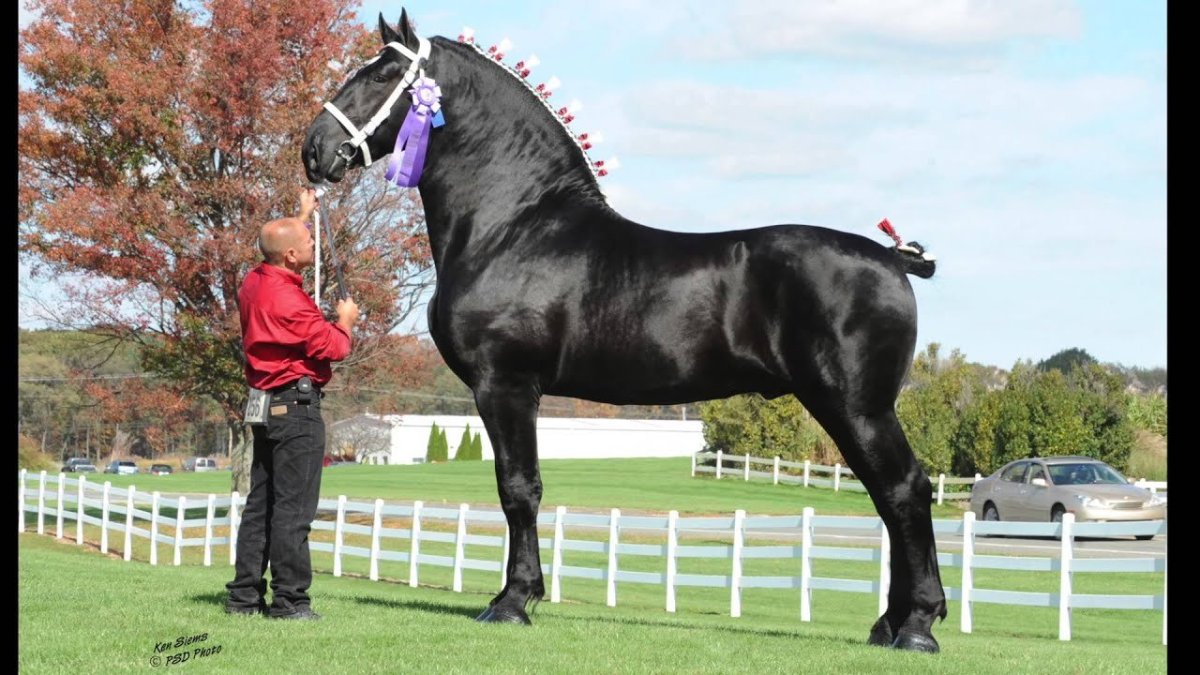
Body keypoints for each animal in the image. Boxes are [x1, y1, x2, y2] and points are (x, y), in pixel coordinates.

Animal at [302, 9, 946, 653]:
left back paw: (917, 626)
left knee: (904, 491)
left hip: (857, 406)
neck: (515, 227)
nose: (315, 149)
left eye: (382, 74)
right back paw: (891, 624)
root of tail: (892, 259)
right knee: (888, 497)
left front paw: (512, 601)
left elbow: (518, 488)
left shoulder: (504, 384)